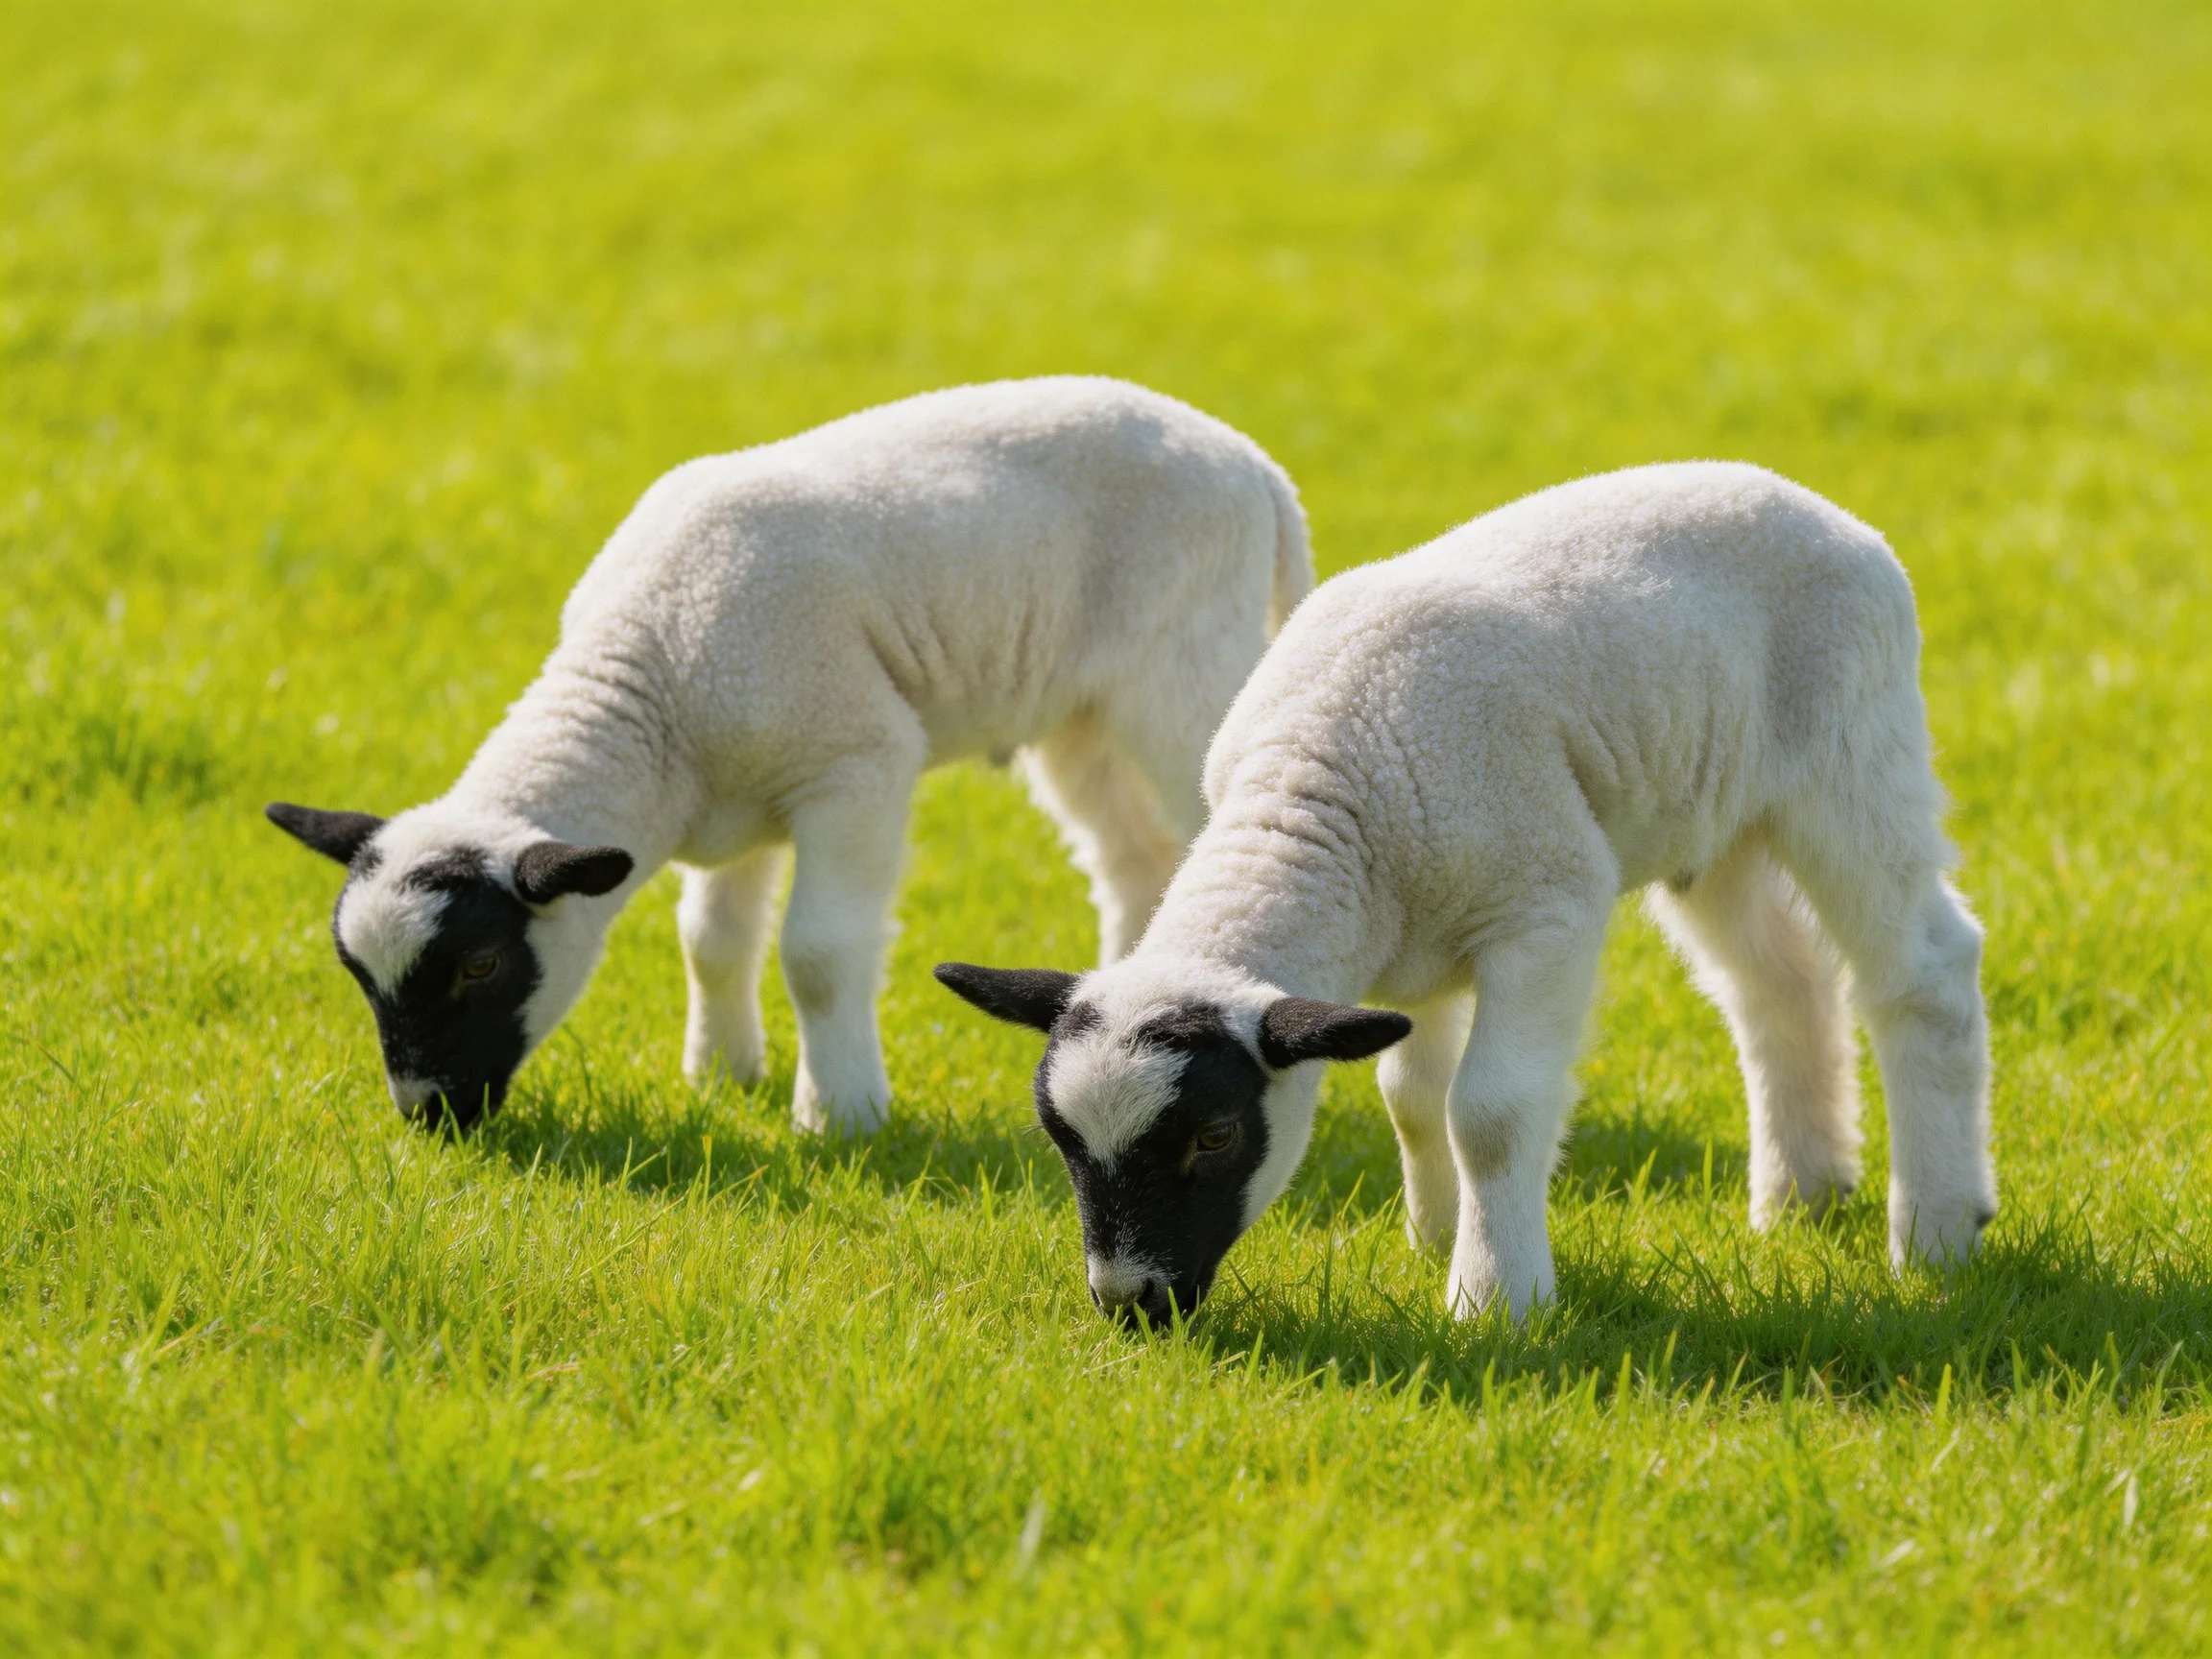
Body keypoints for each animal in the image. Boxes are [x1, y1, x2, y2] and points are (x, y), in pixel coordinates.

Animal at [266, 376, 1313, 1134]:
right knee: (1130, 858)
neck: (647, 682)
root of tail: (1255, 464)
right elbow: (712, 940)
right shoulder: (737, 796)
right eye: (358, 975)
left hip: (1183, 668)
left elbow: (815, 952)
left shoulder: (855, 765)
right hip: (1081, 714)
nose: (425, 1116)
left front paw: (841, 1114)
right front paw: (722, 1074)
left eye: (480, 965)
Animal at [937, 461, 1996, 1324]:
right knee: (1779, 984)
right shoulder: (1415, 949)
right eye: (1061, 1140)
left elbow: (1489, 1112)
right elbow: (1412, 1097)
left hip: (1852, 753)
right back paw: (1801, 1195)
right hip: (1714, 820)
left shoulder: (1547, 906)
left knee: (1923, 974)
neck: (1317, 797)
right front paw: (1442, 1238)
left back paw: (1937, 1231)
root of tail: (1813, 505)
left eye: (1216, 1134)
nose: (1131, 1304)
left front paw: (1494, 1295)